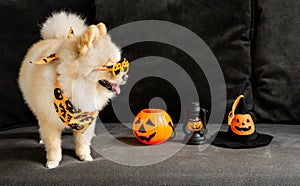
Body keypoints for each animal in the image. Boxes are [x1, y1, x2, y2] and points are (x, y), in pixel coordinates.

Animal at [18, 11, 129, 169]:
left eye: (120, 64)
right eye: (110, 67)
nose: (125, 76)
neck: (78, 85)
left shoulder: (86, 119)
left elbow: (83, 141)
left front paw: (85, 156)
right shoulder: (48, 119)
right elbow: (53, 144)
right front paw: (53, 160)